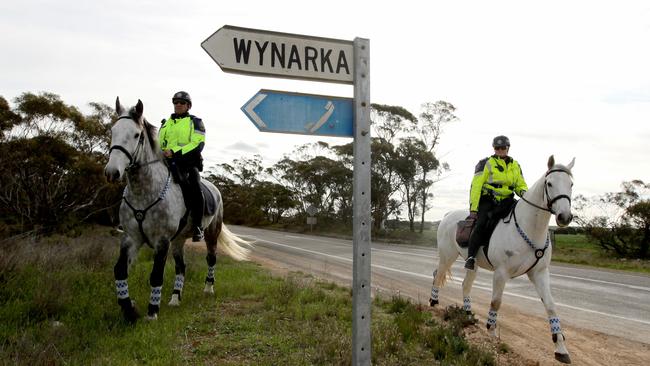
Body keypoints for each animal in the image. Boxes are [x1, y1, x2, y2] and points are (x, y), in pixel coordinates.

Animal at [105, 98, 249, 324]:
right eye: (113, 131)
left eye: (137, 135)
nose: (112, 172)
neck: (144, 192)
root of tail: (215, 189)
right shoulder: (131, 238)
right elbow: (120, 271)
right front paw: (129, 310)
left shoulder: (161, 241)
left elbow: (156, 275)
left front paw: (152, 313)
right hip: (179, 240)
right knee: (182, 267)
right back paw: (175, 298)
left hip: (211, 234)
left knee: (211, 259)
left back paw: (208, 289)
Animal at [430, 154, 572, 364]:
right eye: (550, 183)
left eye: (571, 184)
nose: (564, 217)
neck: (529, 227)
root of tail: (448, 215)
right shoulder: (501, 273)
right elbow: (495, 302)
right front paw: (490, 333)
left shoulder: (539, 273)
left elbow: (551, 307)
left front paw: (561, 349)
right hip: (447, 256)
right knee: (437, 276)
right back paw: (433, 302)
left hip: (472, 265)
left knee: (465, 285)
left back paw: (468, 314)